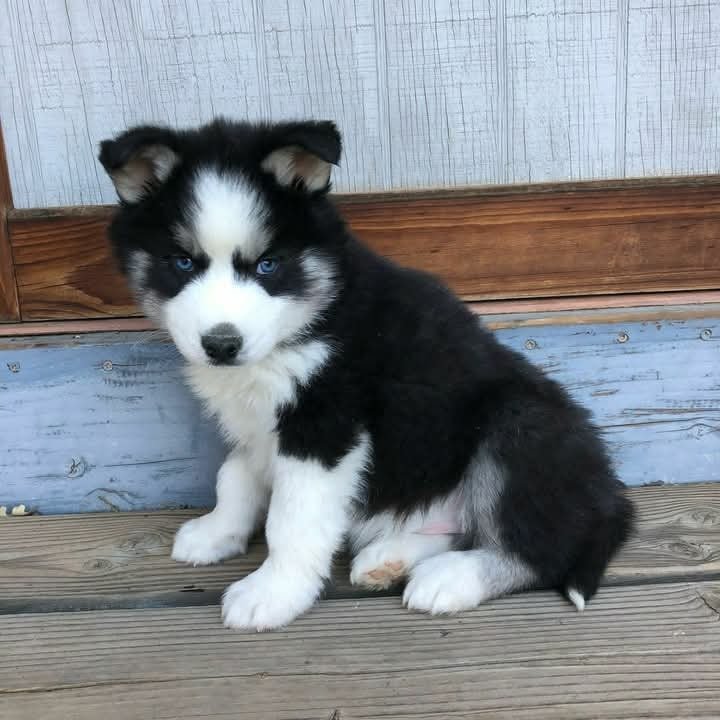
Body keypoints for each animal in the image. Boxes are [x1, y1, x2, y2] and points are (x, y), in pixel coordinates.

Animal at [98, 119, 632, 632]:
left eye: (268, 265)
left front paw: (273, 593)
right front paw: (218, 532)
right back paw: (389, 558)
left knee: (540, 550)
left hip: (522, 425)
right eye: (182, 262)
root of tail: (611, 500)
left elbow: (291, 520)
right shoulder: (260, 423)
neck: (307, 321)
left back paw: (450, 579)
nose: (222, 344)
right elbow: (234, 475)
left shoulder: (323, 428)